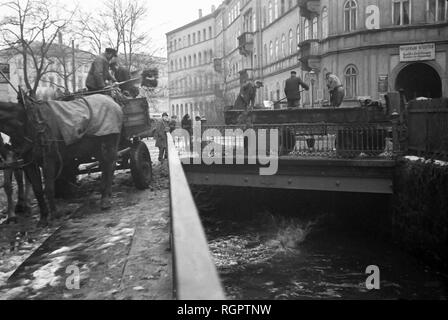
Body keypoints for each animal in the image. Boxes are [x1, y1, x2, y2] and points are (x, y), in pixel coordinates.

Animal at [0, 91, 122, 226]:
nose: (6, 145)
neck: (27, 121)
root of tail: (110, 99)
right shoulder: (29, 163)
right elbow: (38, 190)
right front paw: (43, 218)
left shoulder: (49, 159)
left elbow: (49, 188)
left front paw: (54, 215)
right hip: (95, 147)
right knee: (105, 165)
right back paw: (105, 193)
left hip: (111, 142)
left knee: (110, 165)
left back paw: (105, 200)